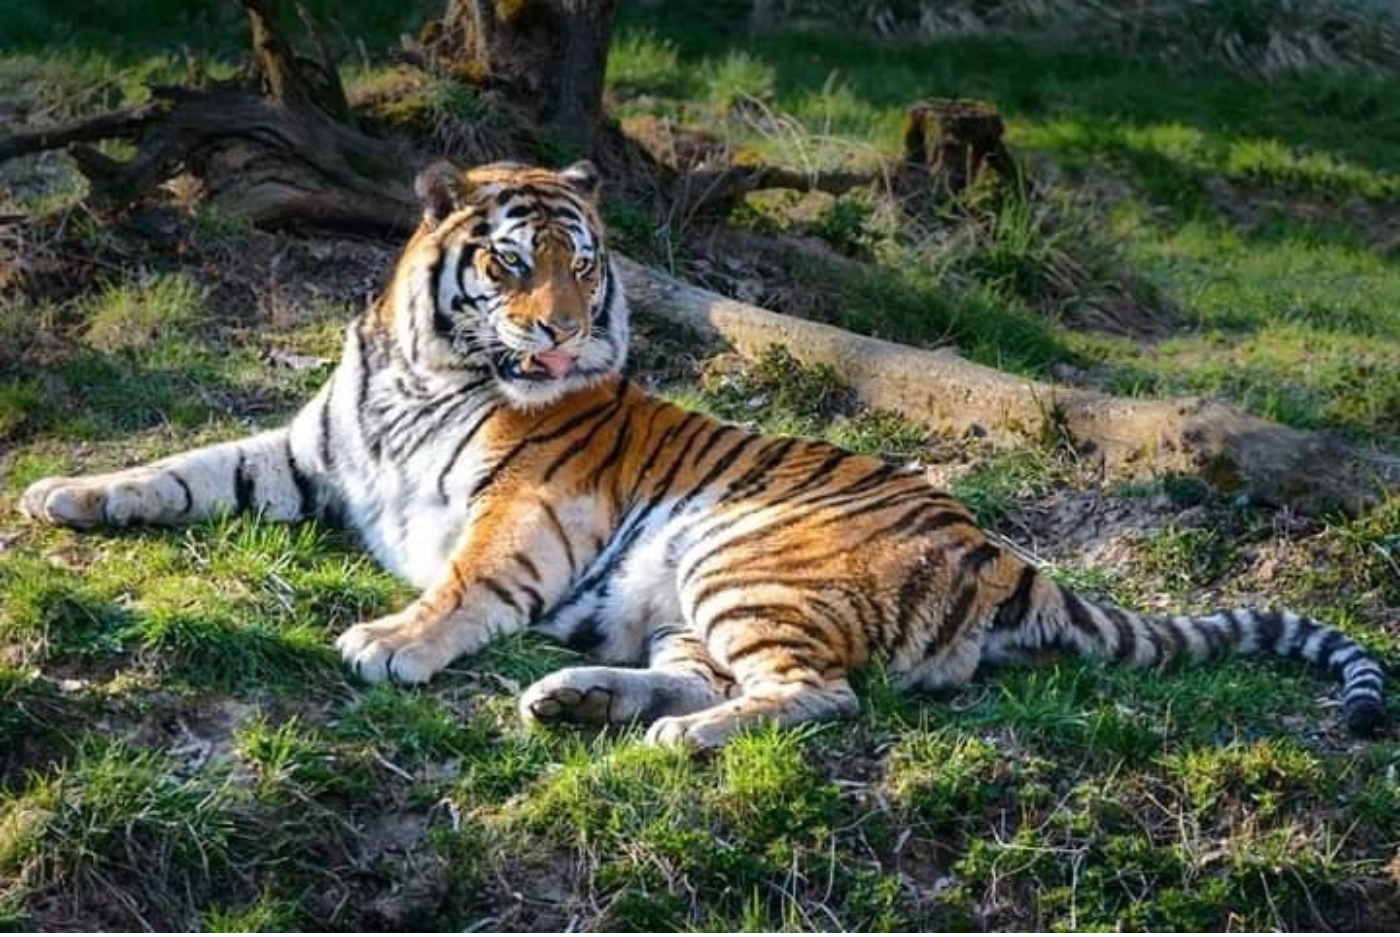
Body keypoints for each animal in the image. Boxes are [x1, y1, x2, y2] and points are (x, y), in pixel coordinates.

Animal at [20, 159, 1386, 748]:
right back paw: (578, 698)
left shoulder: (528, 507)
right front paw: (59, 492)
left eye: (585, 264)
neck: (423, 371)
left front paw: (390, 642)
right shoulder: (310, 452)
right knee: (713, 676)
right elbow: (184, 464)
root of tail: (1013, 559)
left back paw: (667, 739)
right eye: (511, 264)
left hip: (747, 556)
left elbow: (461, 584)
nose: (569, 333)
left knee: (817, 696)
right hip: (684, 597)